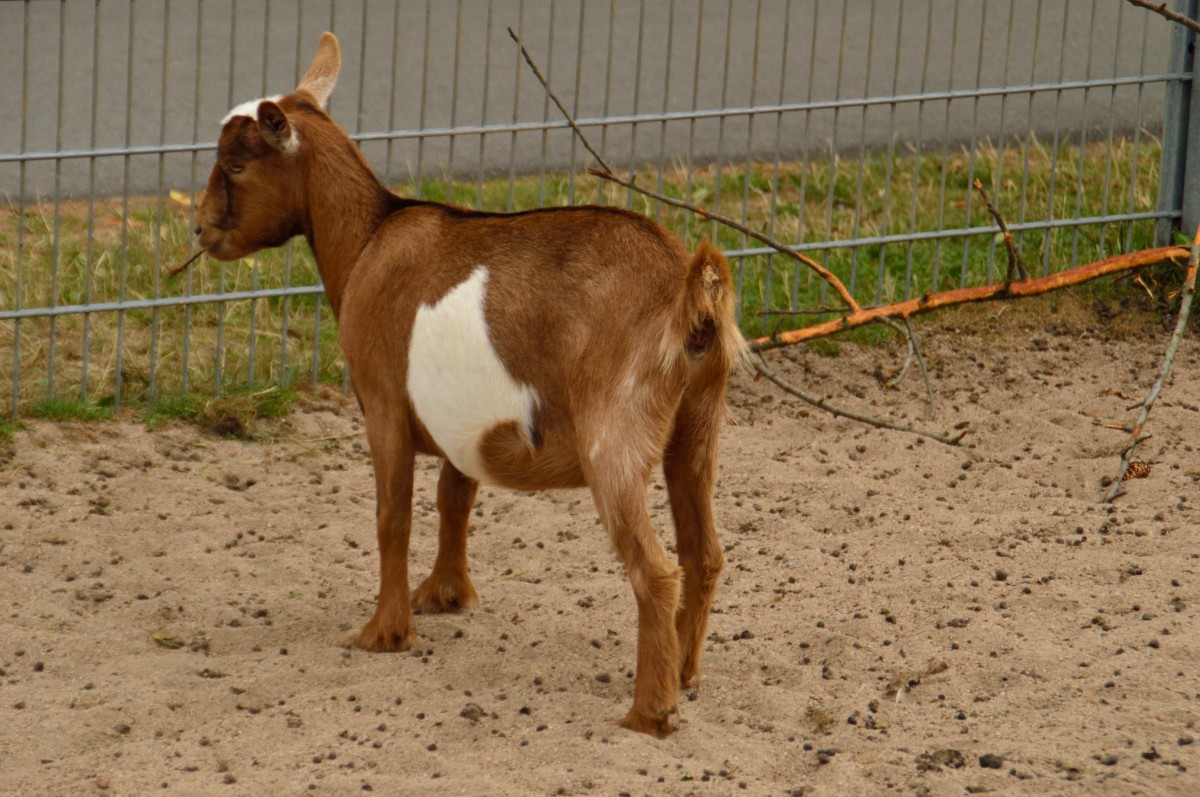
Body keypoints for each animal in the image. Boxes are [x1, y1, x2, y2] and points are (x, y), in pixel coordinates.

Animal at [192, 34, 744, 739]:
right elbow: (455, 495)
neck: (368, 238)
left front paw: (384, 632)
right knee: (705, 554)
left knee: (656, 568)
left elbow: (392, 516)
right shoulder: (462, 423)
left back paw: (649, 712)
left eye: (235, 165)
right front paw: (444, 595)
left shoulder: (383, 405)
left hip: (615, 434)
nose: (200, 228)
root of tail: (687, 288)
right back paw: (686, 675)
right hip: (698, 425)